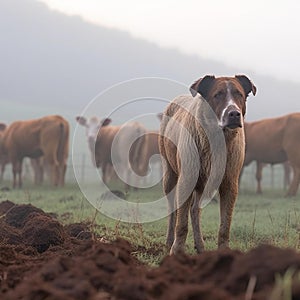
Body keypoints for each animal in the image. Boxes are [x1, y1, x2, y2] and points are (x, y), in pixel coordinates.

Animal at [159, 74, 255, 253]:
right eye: (217, 94)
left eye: (239, 94)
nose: (234, 114)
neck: (216, 140)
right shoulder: (187, 179)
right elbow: (181, 223)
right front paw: (176, 251)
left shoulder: (230, 182)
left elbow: (225, 224)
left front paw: (224, 251)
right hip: (169, 171)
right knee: (172, 209)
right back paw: (169, 242)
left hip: (203, 183)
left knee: (195, 210)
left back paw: (200, 246)